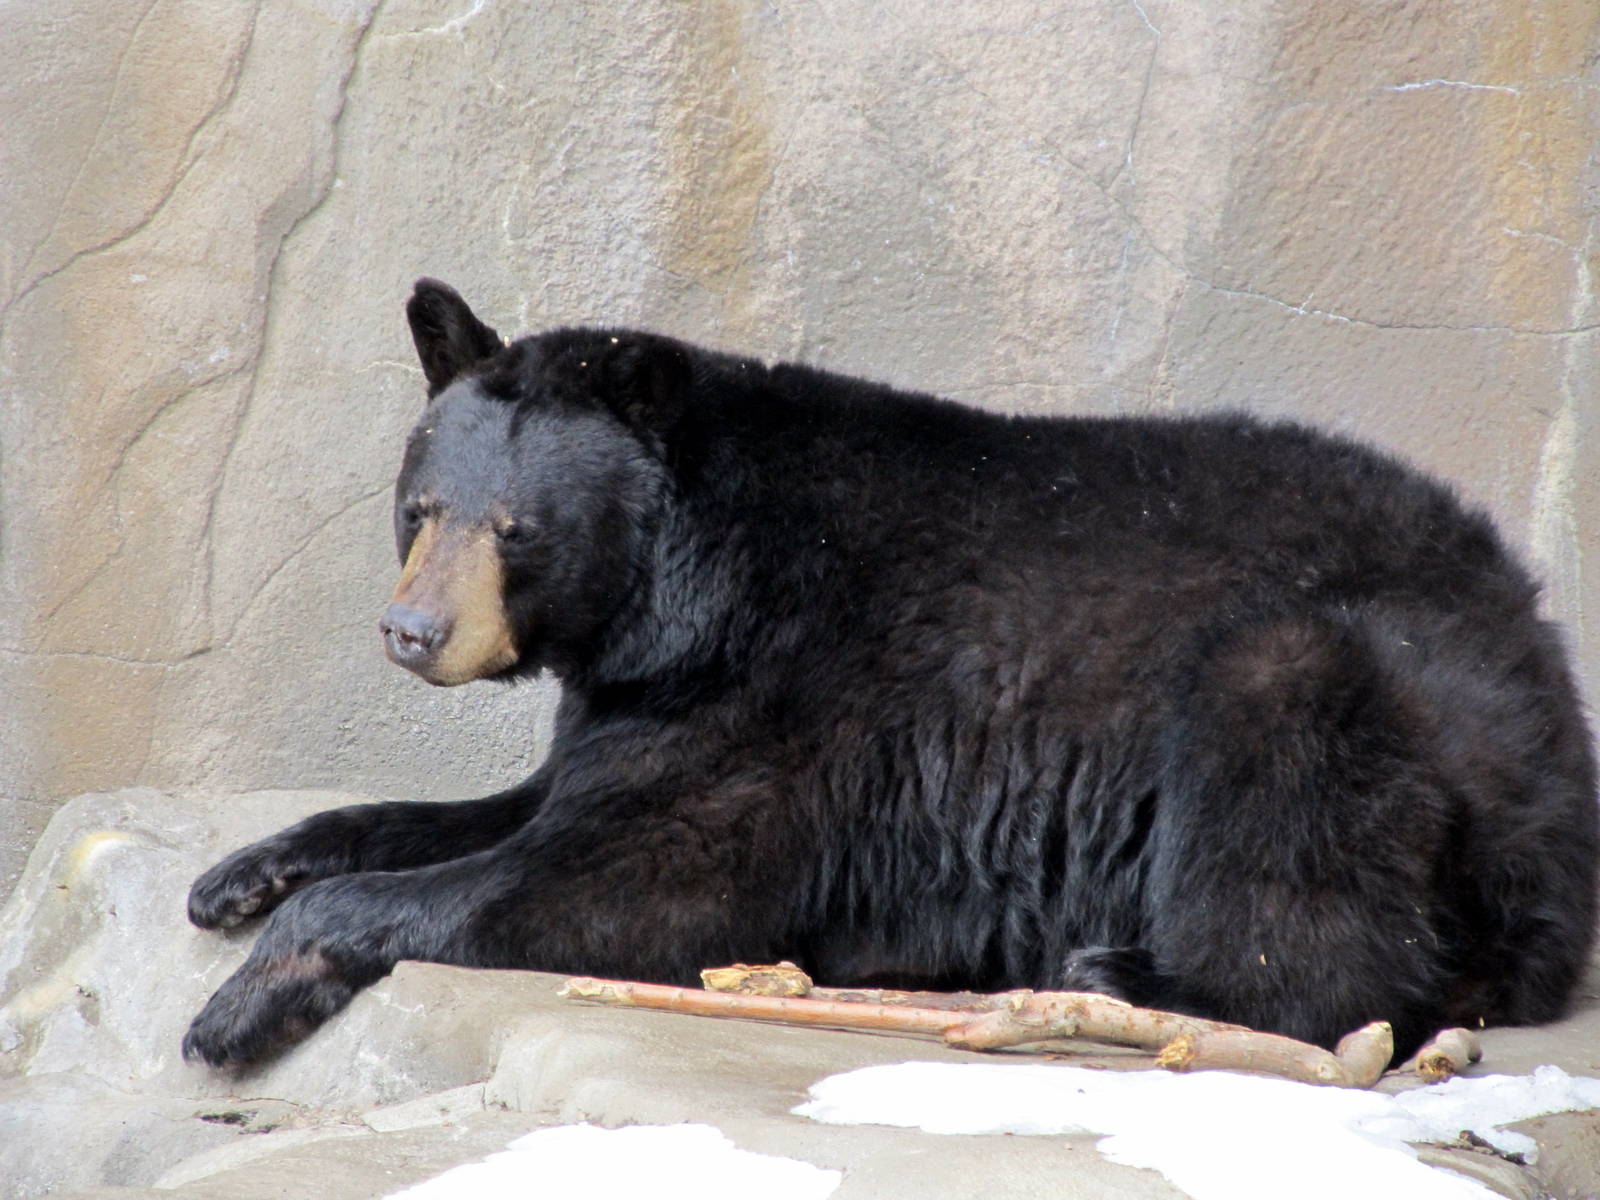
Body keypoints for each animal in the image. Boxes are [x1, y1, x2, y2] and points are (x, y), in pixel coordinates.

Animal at [182, 278, 1599, 1069]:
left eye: (515, 528)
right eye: (419, 507)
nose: (410, 634)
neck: (698, 581)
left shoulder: (793, 695)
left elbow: (621, 879)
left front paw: (239, 1004)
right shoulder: (644, 691)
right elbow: (508, 806)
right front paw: (235, 875)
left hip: (1360, 676)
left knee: (1300, 838)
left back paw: (1121, 972)